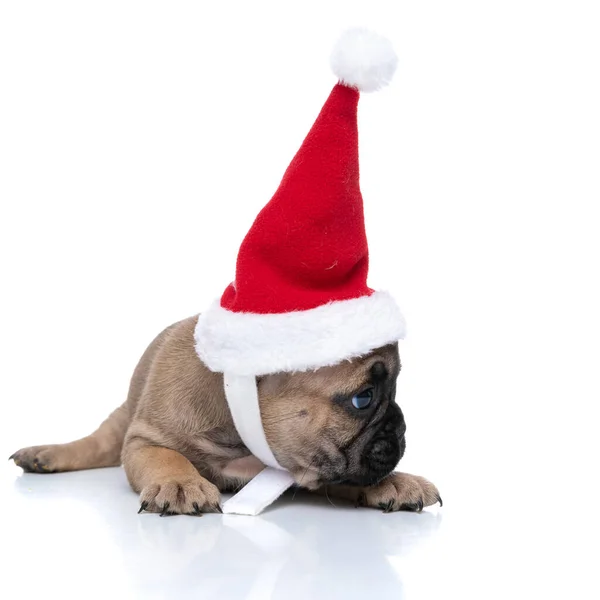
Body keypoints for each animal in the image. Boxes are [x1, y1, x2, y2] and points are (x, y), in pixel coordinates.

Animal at [9, 318, 440, 516]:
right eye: (362, 399)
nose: (401, 427)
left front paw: (397, 482)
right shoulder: (145, 440)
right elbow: (167, 457)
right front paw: (180, 483)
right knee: (95, 443)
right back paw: (43, 455)